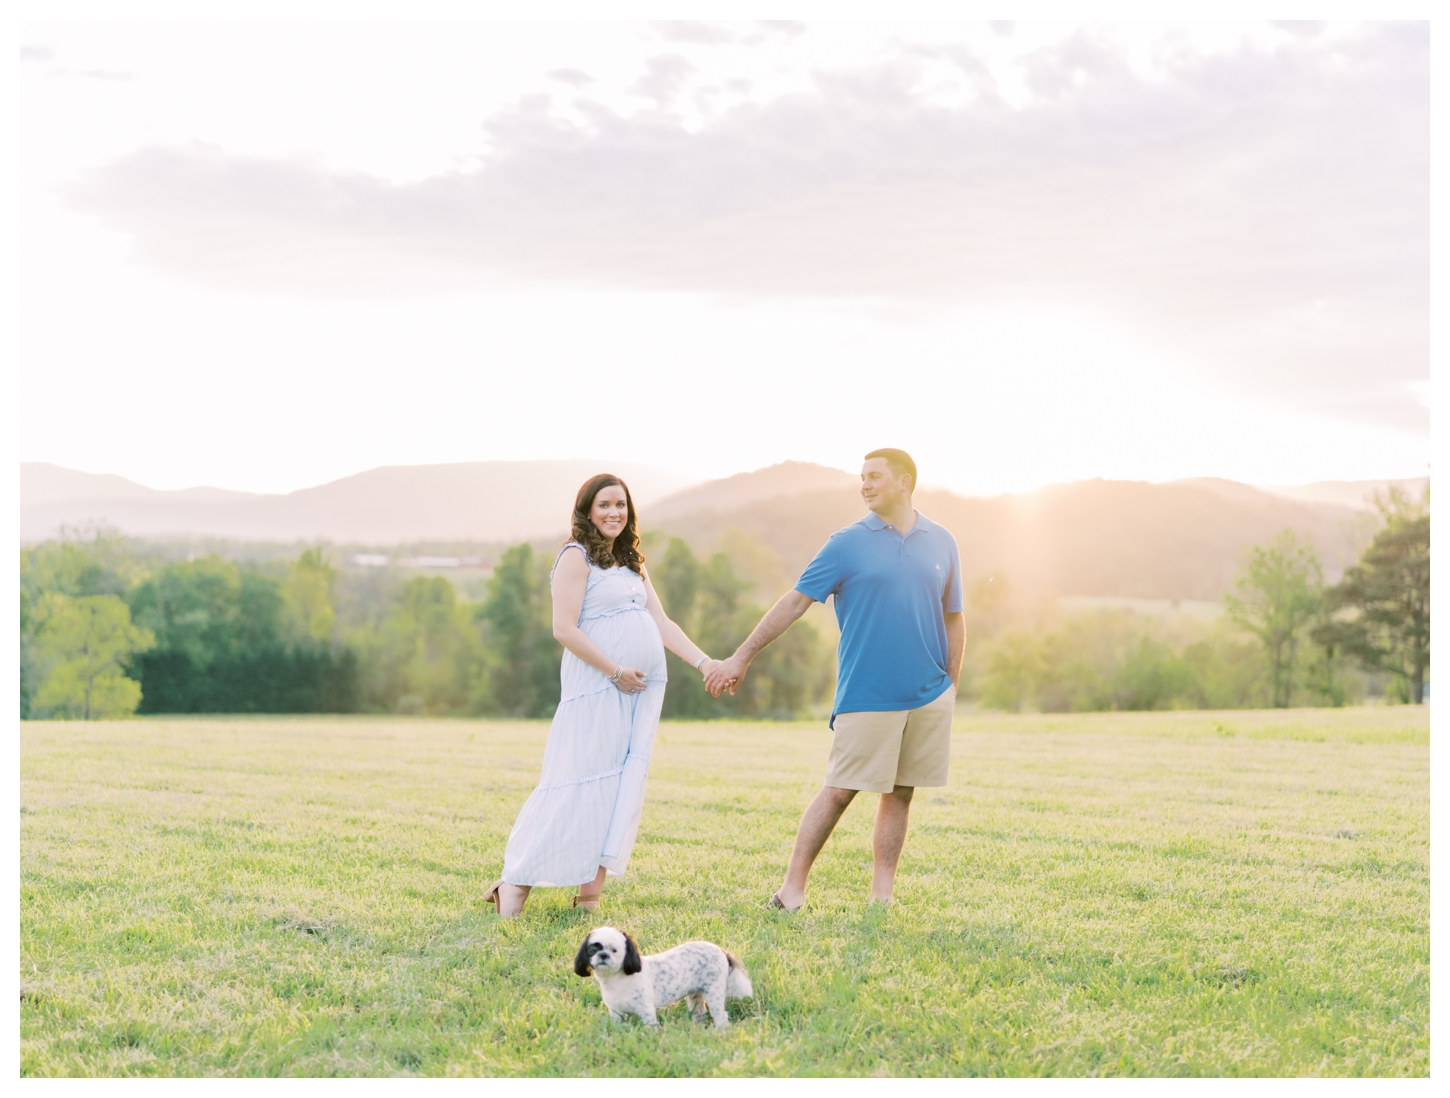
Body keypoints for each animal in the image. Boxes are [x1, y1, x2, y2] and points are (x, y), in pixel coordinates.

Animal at [574, 922, 754, 1026]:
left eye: (614, 950)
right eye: (593, 949)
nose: (603, 955)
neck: (616, 979)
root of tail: (722, 951)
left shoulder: (646, 1010)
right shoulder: (615, 1012)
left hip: (714, 992)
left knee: (720, 1015)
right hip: (696, 993)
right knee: (699, 1011)